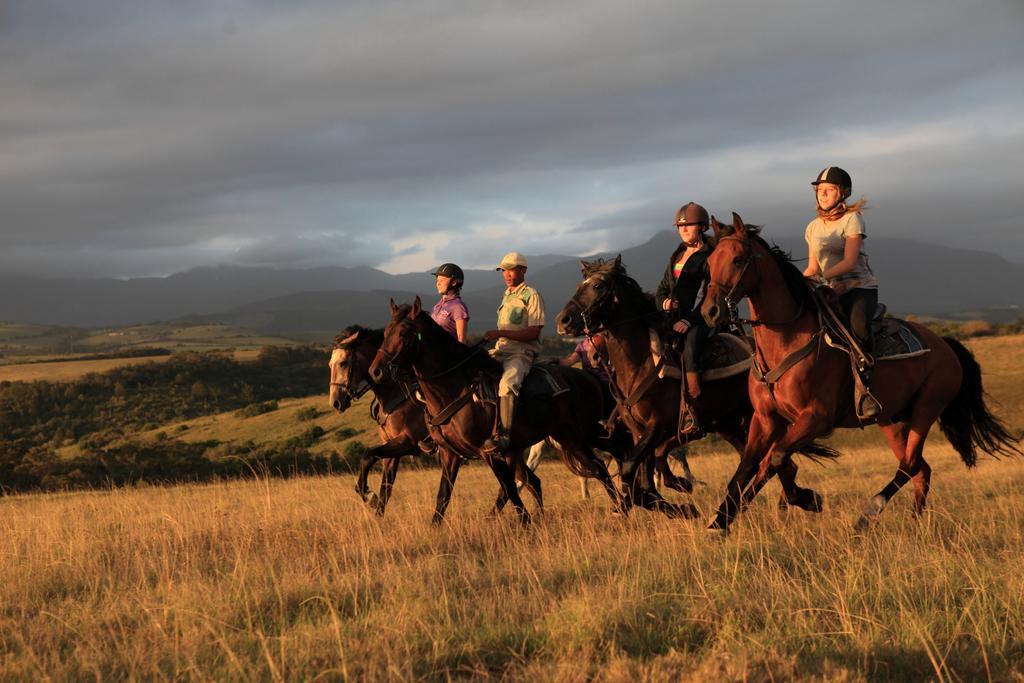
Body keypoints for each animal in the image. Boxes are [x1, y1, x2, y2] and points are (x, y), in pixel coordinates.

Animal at [368, 296, 622, 528]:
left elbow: (509, 489)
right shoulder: (450, 454)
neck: (455, 387)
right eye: (386, 332)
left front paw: (525, 523)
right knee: (593, 469)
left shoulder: (488, 452)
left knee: (605, 462)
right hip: (566, 437)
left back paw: (620, 507)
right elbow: (443, 496)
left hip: (584, 434)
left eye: (403, 333)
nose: (376, 371)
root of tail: (588, 376)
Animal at [557, 259, 835, 516]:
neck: (640, 363)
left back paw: (794, 500)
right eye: (579, 286)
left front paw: (682, 504)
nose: (563, 320)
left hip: (754, 419)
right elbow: (644, 483)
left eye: (597, 285)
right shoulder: (639, 433)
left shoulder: (657, 426)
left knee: (775, 461)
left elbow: (632, 473)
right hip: (729, 425)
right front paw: (679, 502)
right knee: (769, 462)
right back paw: (789, 501)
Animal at [700, 210, 1019, 532]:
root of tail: (946, 345)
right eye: (709, 263)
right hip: (891, 419)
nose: (709, 311)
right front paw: (721, 520)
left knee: (910, 464)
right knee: (920, 469)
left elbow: (774, 459)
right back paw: (916, 523)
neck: (788, 340)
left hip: (926, 408)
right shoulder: (765, 419)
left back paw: (869, 513)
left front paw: (807, 499)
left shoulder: (816, 419)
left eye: (737, 259)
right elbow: (749, 466)